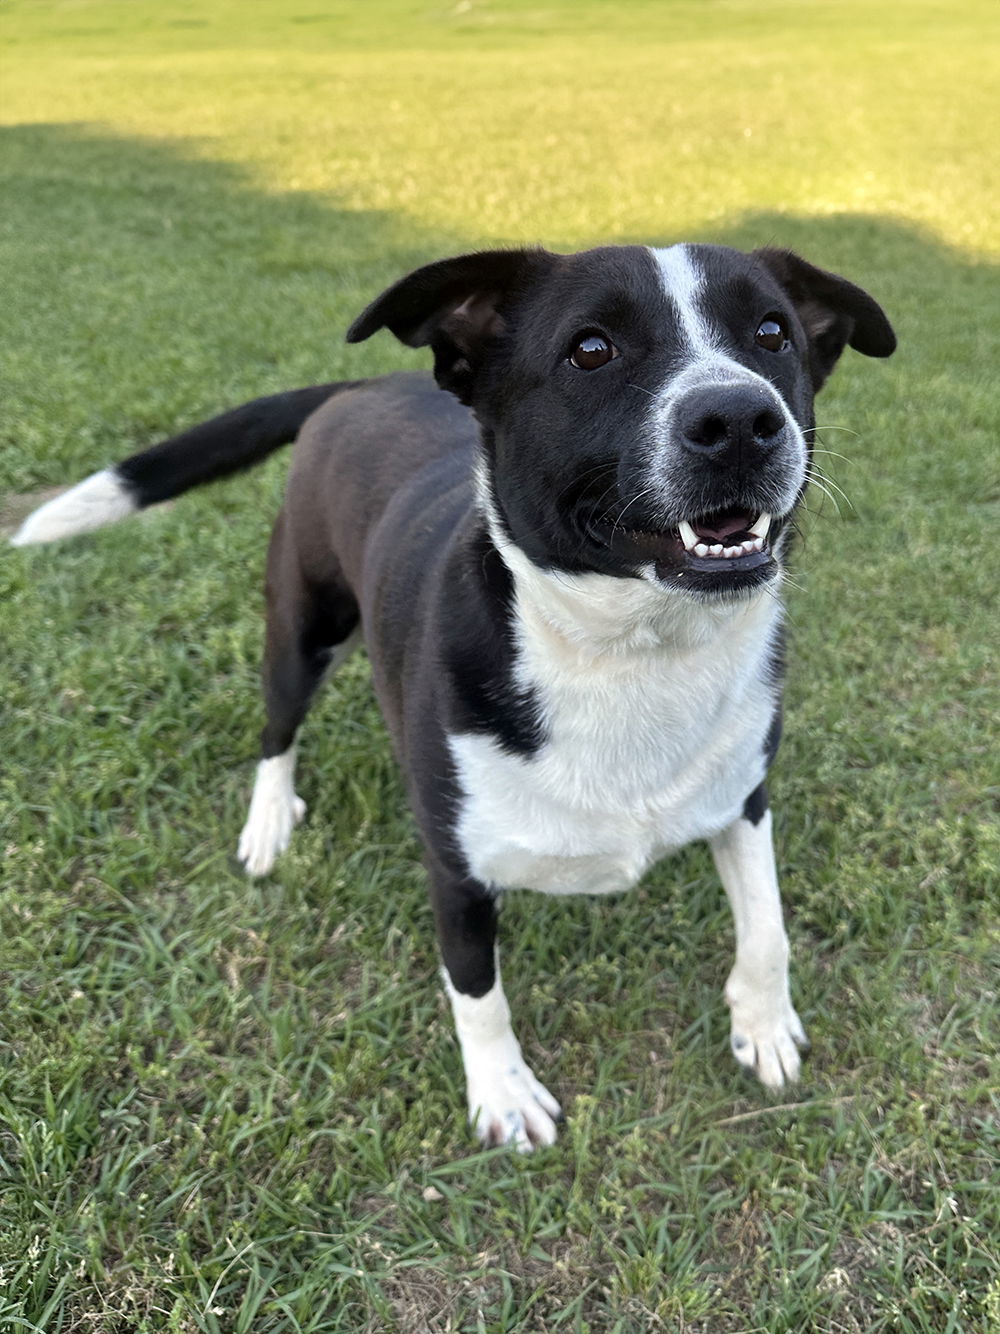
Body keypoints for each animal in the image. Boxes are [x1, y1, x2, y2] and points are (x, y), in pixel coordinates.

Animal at [11, 245, 896, 1152]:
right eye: (590, 349)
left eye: (773, 333)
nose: (743, 419)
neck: (633, 652)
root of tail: (356, 385)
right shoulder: (457, 869)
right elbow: (478, 993)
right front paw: (502, 1092)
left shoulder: (744, 795)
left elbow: (768, 925)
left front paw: (763, 1022)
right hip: (302, 627)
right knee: (275, 730)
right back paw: (268, 822)